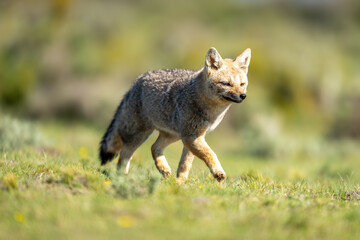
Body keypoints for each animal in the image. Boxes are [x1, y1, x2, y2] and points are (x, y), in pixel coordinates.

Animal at [98, 47, 250, 182]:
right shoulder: (192, 137)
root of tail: (136, 82)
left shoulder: (194, 137)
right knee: (124, 156)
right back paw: (122, 178)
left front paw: (181, 182)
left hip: (173, 135)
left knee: (154, 147)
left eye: (242, 84)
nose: (243, 96)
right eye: (226, 84)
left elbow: (185, 164)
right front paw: (218, 172)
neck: (211, 112)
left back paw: (163, 168)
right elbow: (209, 154)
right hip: (140, 135)